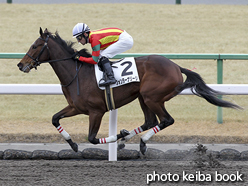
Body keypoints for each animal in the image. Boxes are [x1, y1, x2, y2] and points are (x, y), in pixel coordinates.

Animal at [17, 27, 240, 155]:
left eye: (35, 45)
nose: (21, 64)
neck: (77, 73)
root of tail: (176, 67)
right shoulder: (75, 107)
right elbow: (55, 119)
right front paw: (72, 145)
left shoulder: (96, 111)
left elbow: (92, 138)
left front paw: (118, 135)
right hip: (143, 97)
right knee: (150, 121)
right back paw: (128, 140)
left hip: (152, 97)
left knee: (166, 120)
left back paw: (139, 141)